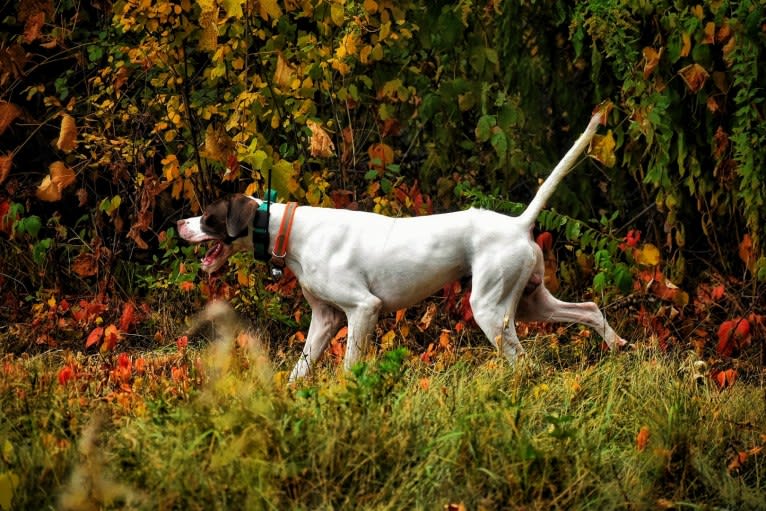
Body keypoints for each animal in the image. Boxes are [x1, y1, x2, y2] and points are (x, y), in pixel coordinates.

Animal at [180, 113, 632, 384]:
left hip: (492, 310)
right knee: (588, 310)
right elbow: (299, 370)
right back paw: (618, 346)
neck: (291, 230)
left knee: (523, 360)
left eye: (208, 217)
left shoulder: (363, 309)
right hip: (528, 303)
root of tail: (518, 224)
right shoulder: (325, 319)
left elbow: (350, 364)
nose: (179, 225)